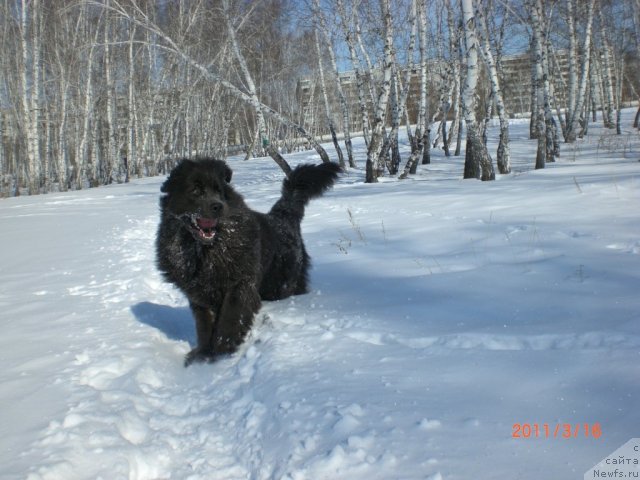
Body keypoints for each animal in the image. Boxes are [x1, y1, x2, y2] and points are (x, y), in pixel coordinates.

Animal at [155, 159, 340, 366]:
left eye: (219, 191)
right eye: (195, 190)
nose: (217, 206)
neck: (206, 251)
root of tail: (283, 216)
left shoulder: (240, 285)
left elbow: (230, 319)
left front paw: (223, 350)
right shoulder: (199, 296)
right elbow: (204, 326)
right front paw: (203, 355)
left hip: (281, 283)